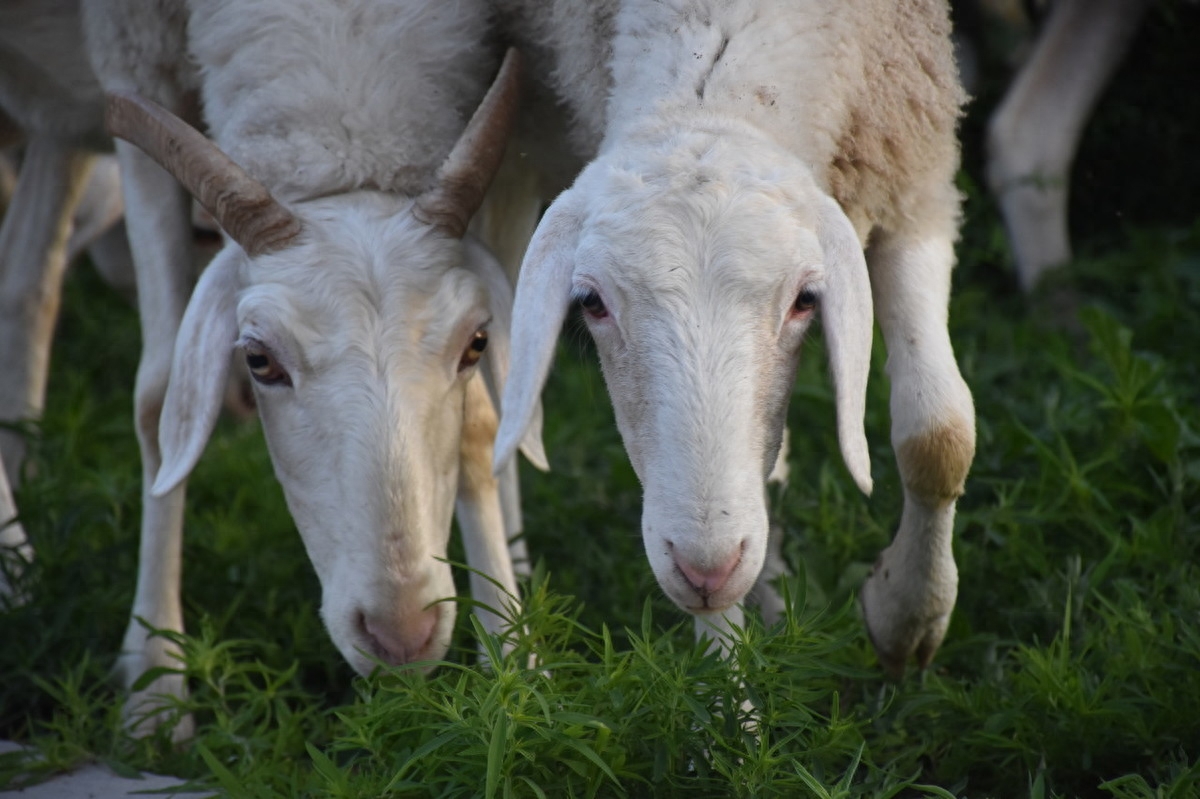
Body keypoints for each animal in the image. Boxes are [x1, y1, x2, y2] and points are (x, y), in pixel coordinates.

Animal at [85, 0, 549, 734]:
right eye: (258, 359)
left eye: (477, 342)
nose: (400, 634)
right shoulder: (135, 63)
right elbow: (158, 402)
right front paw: (155, 687)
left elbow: (481, 424)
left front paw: (512, 663)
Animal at [492, 0, 979, 671]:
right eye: (591, 302)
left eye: (806, 299)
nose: (707, 568)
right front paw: (727, 691)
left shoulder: (911, 176)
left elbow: (939, 434)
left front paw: (909, 615)